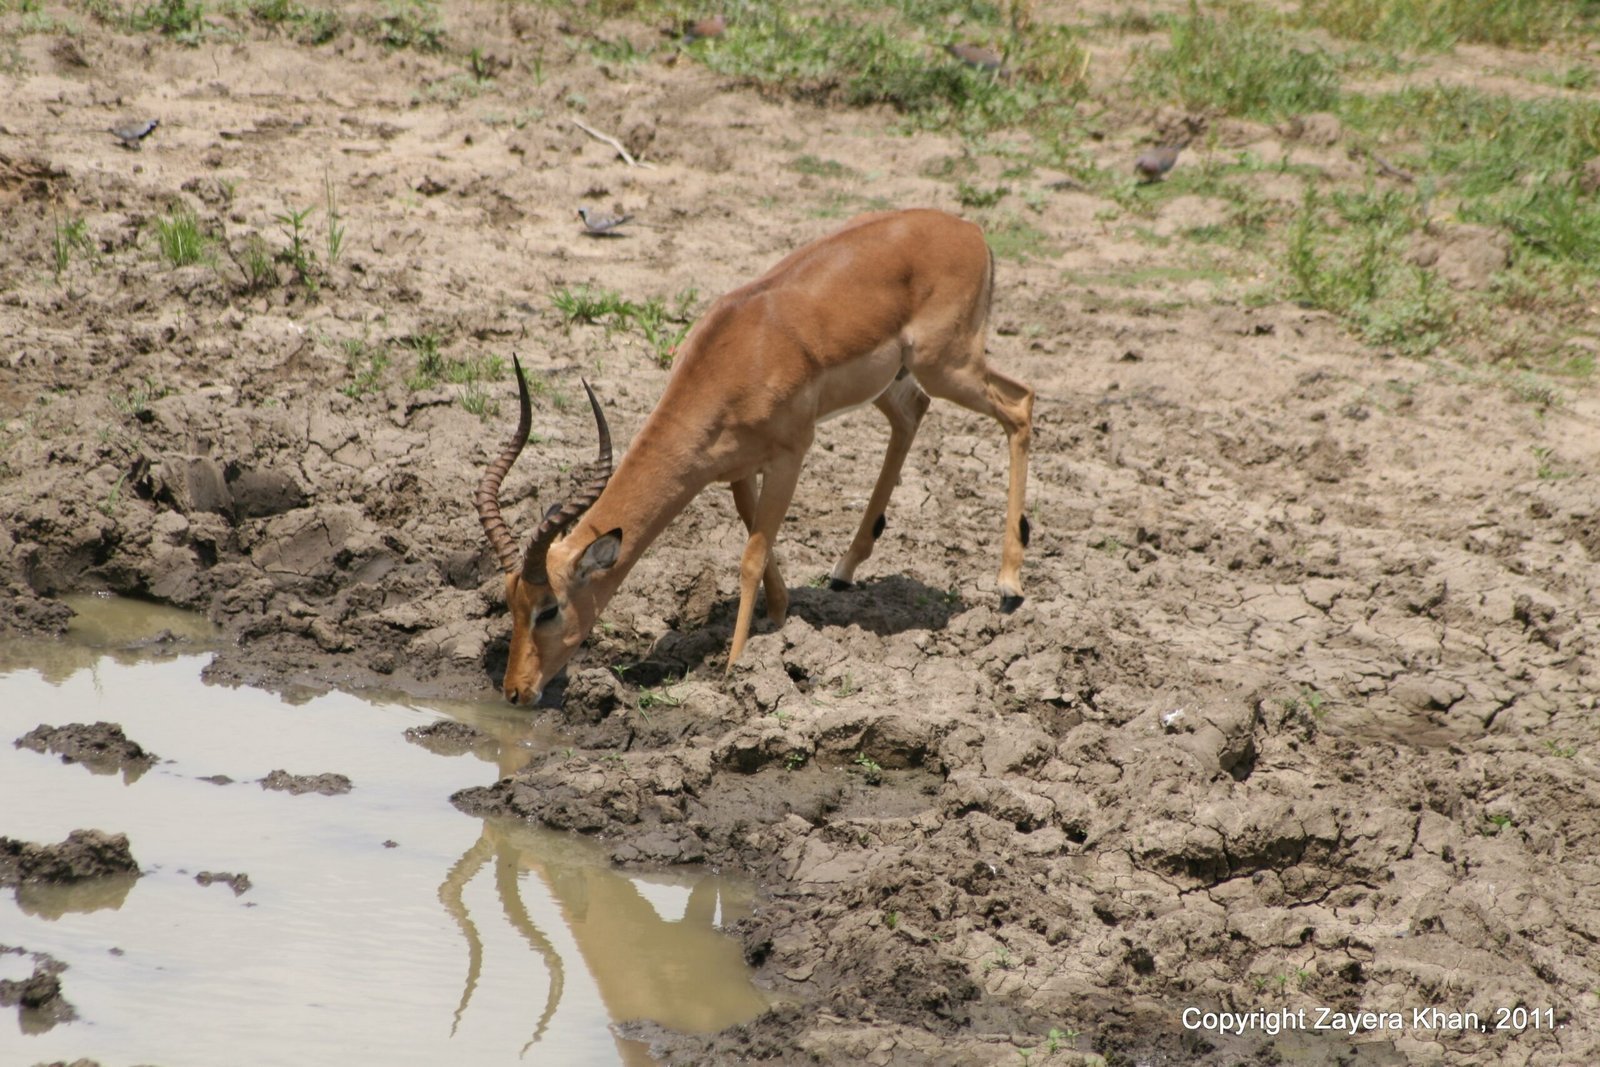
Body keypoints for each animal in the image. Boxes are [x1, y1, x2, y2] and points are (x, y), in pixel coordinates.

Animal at [475, 208, 1033, 706]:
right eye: (509, 601)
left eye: (549, 609)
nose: (516, 691)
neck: (739, 354)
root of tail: (968, 230)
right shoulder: (735, 470)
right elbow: (756, 540)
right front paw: (780, 617)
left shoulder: (790, 455)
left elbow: (751, 557)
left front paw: (736, 663)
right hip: (900, 378)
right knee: (912, 412)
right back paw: (845, 569)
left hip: (947, 364)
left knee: (1020, 404)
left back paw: (1008, 585)